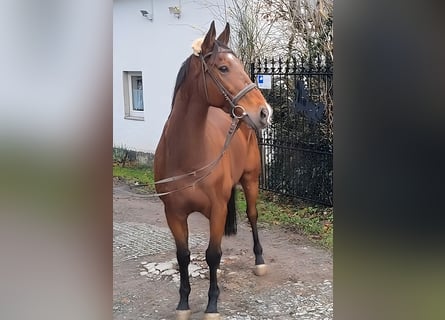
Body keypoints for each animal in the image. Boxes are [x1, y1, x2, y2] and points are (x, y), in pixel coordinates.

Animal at [153, 21, 270, 318]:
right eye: (223, 67)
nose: (265, 112)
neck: (188, 157)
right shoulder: (174, 214)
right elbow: (183, 256)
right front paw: (183, 304)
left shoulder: (217, 210)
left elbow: (212, 255)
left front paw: (212, 305)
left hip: (251, 181)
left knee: (253, 216)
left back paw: (259, 261)